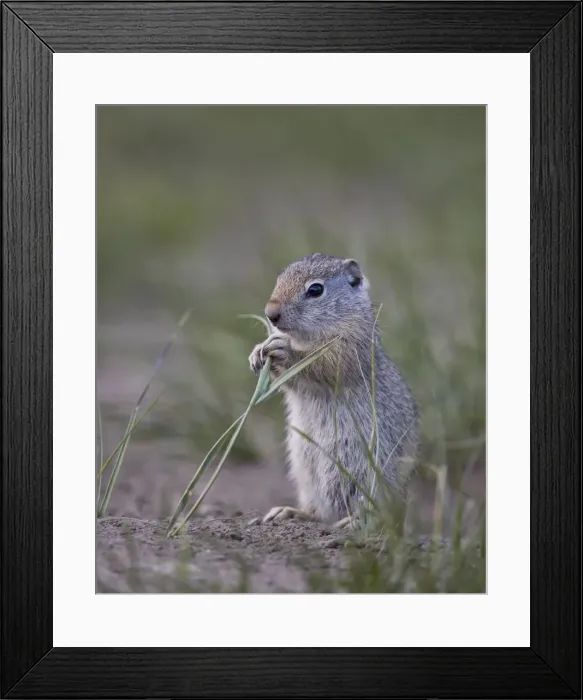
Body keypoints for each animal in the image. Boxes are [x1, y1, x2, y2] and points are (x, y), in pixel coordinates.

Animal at [249, 253, 419, 529]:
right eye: (279, 279)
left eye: (315, 290)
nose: (270, 313)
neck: (306, 338)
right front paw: (257, 354)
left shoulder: (350, 346)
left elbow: (326, 365)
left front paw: (286, 351)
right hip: (306, 475)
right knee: (320, 512)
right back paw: (289, 513)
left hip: (368, 476)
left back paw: (353, 523)